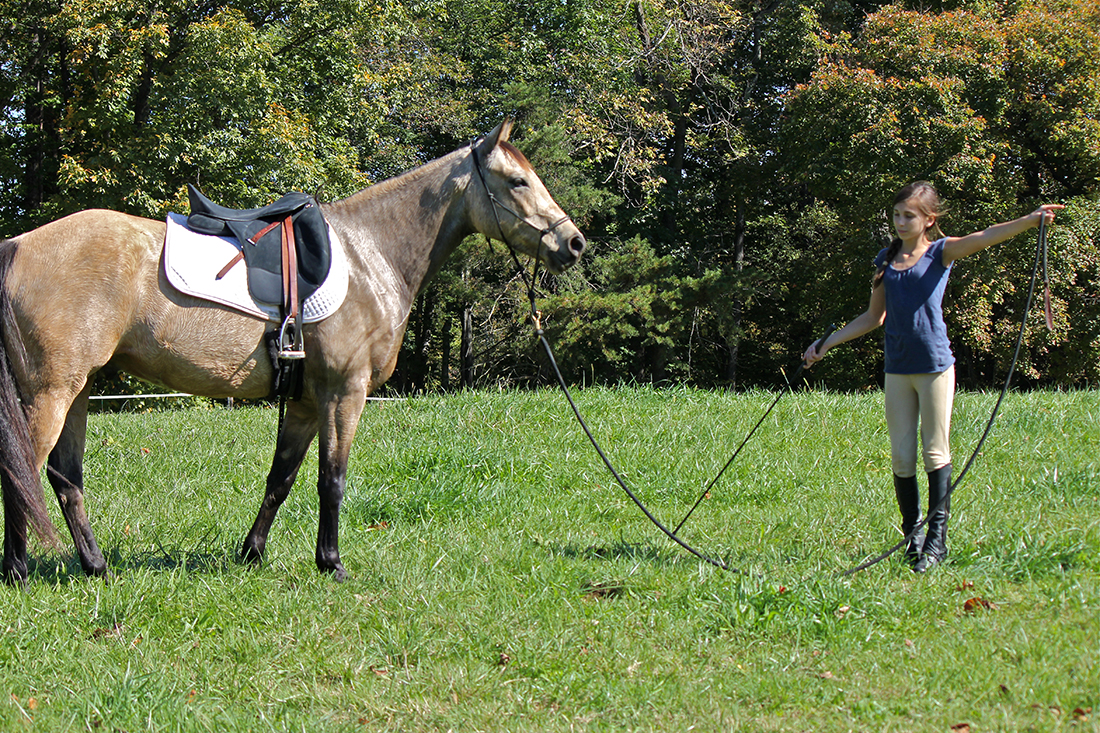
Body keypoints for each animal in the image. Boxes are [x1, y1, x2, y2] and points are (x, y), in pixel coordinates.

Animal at [0, 120, 585, 584]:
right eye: (517, 181)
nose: (574, 243)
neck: (371, 256)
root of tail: (19, 244)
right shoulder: (343, 394)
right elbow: (332, 479)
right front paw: (331, 563)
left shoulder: (304, 401)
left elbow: (280, 479)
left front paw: (251, 554)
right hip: (51, 392)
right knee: (23, 472)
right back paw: (19, 573)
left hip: (78, 389)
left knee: (64, 478)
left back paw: (95, 567)